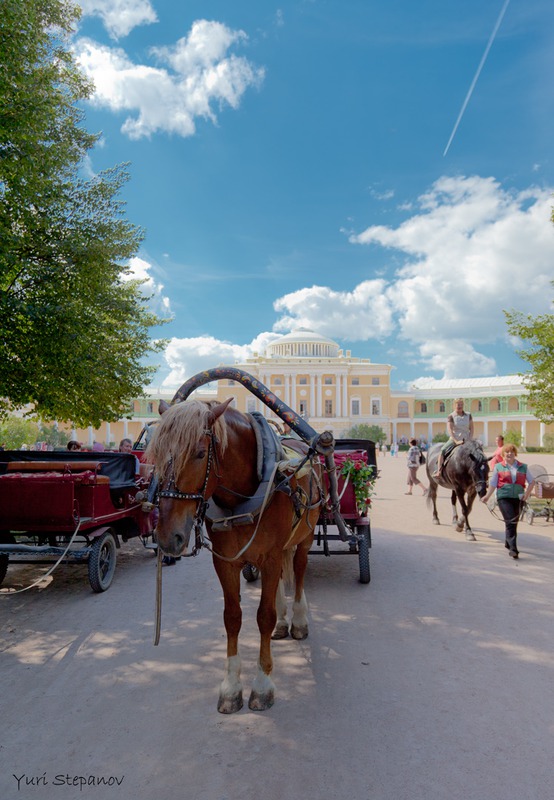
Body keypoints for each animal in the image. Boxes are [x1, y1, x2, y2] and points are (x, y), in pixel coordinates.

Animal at [146, 398, 324, 712]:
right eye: (155, 453)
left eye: (200, 453)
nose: (168, 537)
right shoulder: (224, 561)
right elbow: (232, 617)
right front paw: (230, 687)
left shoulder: (271, 556)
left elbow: (263, 615)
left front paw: (262, 685)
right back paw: (283, 624)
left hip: (305, 535)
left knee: (300, 571)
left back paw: (299, 621)